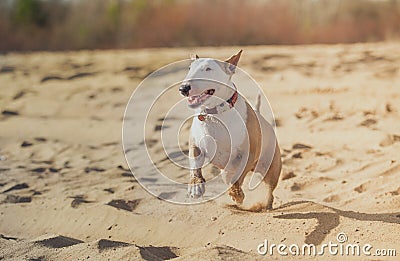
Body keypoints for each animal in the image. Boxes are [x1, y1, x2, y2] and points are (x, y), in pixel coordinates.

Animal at [180, 51, 282, 209]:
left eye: (208, 69)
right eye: (190, 68)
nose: (184, 88)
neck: (214, 114)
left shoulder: (247, 153)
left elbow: (237, 178)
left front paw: (237, 195)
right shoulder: (195, 145)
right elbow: (195, 165)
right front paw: (195, 187)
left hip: (270, 169)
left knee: (269, 189)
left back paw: (266, 205)